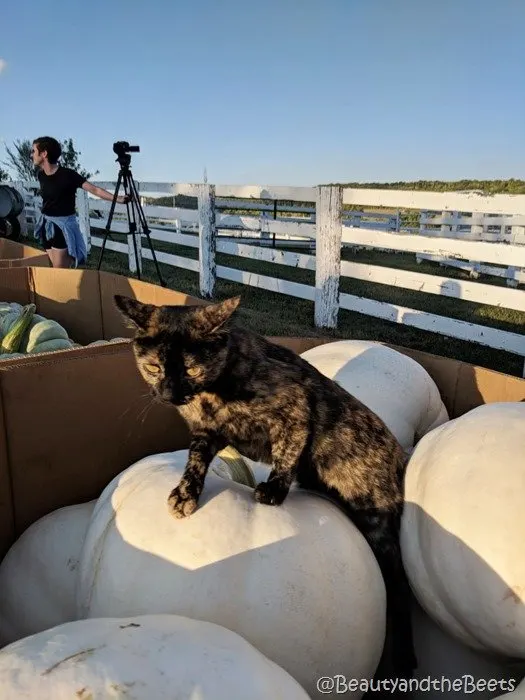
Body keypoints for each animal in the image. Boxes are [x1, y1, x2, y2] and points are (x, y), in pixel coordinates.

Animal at [115, 292, 418, 680]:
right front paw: (185, 493)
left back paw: (405, 660)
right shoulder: (207, 434)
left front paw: (273, 491)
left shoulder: (297, 410)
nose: (168, 395)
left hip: (379, 527)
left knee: (400, 588)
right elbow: (194, 460)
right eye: (154, 368)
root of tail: (402, 457)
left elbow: (288, 452)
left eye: (191, 370)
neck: (211, 395)